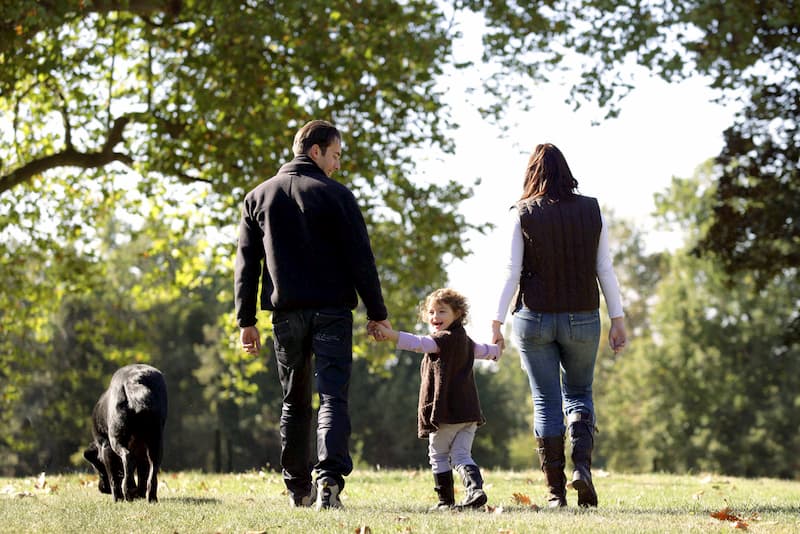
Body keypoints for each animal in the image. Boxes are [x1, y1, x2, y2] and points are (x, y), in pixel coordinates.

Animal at [84, 364, 167, 502]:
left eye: (97, 467)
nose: (102, 489)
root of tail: (135, 381)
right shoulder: (142, 452)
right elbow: (142, 474)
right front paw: (139, 494)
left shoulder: (106, 447)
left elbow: (113, 478)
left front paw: (118, 498)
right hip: (156, 441)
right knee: (152, 471)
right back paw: (150, 497)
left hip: (116, 438)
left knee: (128, 458)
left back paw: (128, 490)